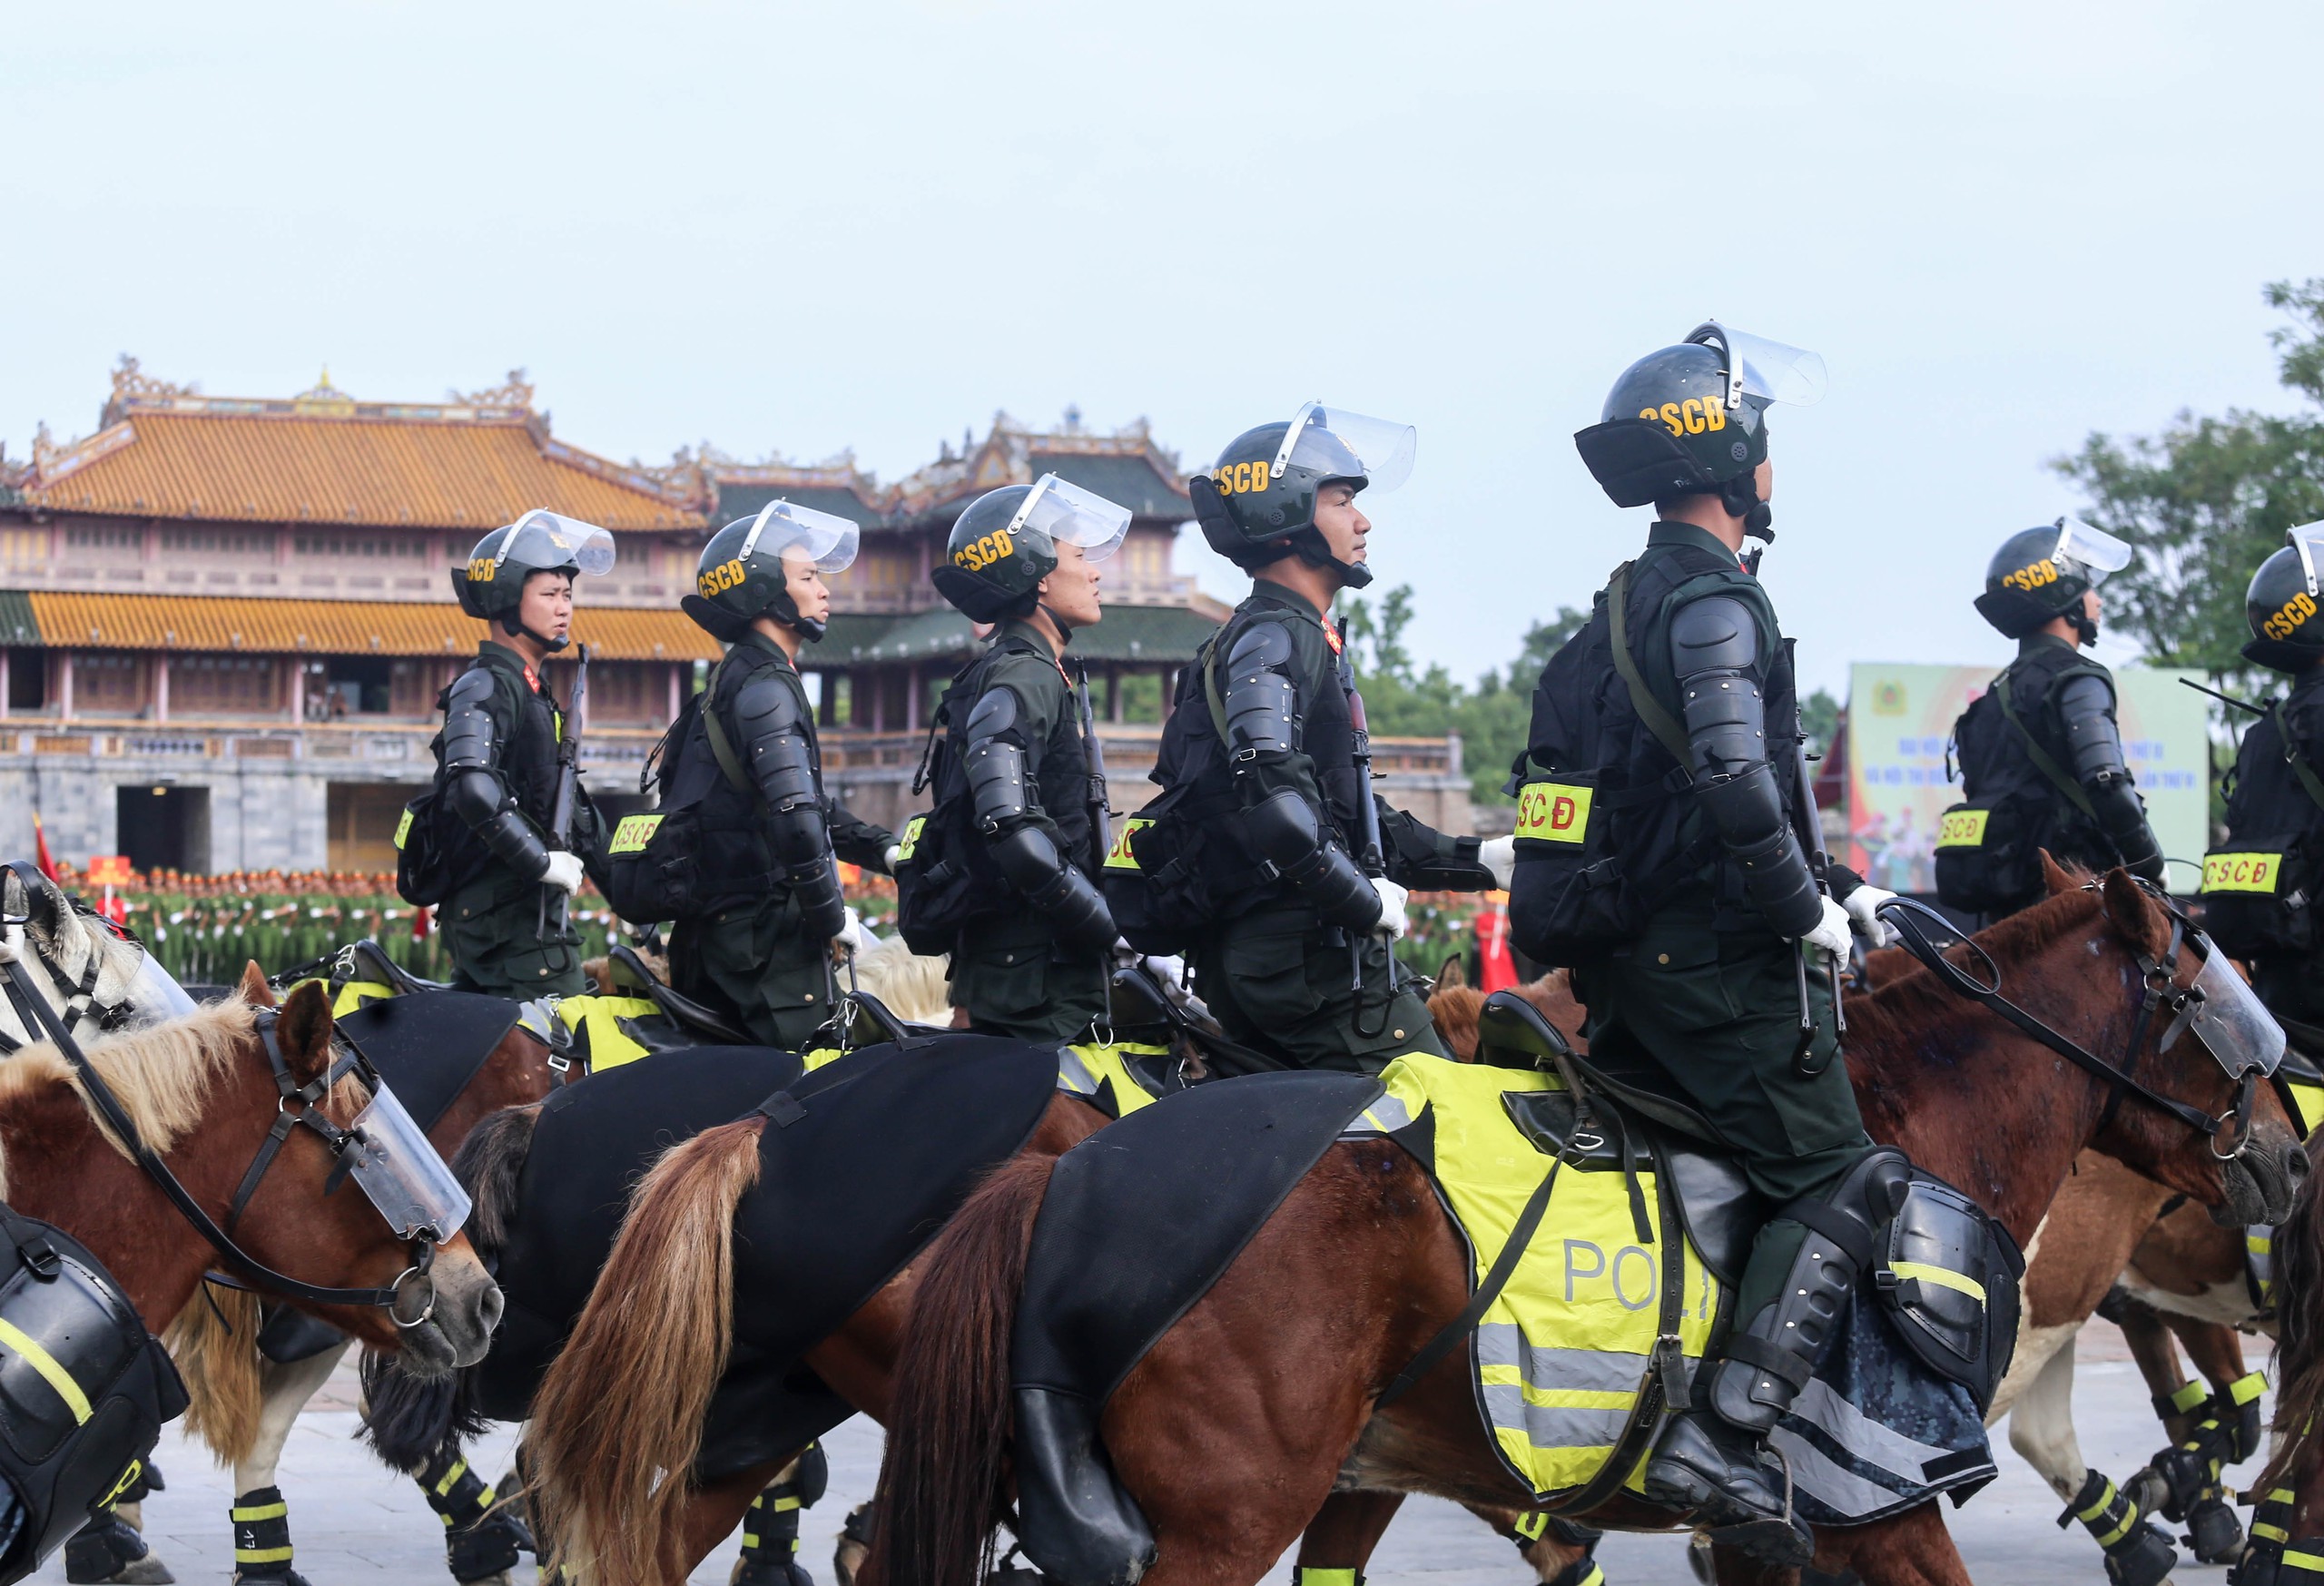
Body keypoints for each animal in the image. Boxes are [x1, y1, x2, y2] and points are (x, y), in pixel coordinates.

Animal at [869, 864, 2305, 1581]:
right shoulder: (1882, 1508)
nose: (2294, 1155)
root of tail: (1072, 1177)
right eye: (2216, 993)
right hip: (1229, 1519)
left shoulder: (1774, 1541)